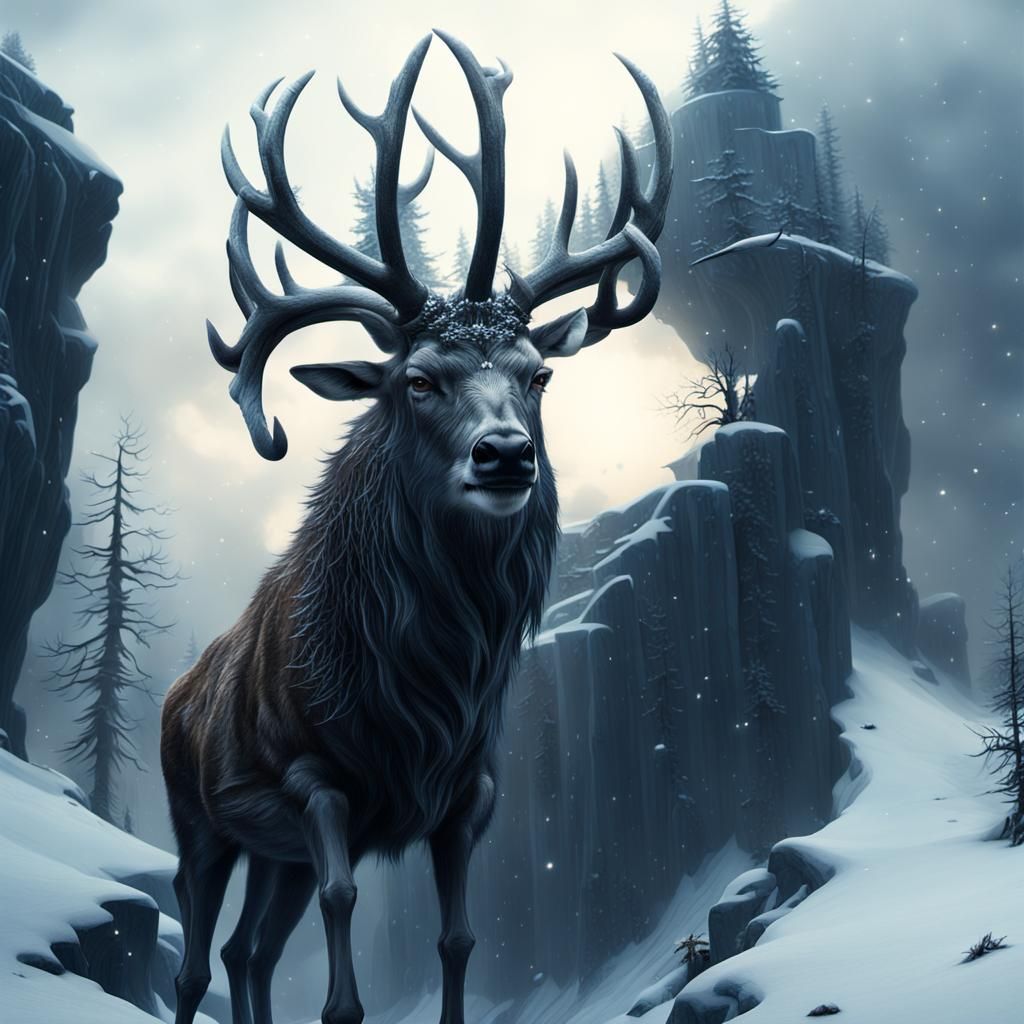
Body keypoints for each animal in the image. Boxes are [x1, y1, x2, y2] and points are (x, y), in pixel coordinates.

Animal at [160, 29, 671, 1024]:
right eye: (419, 379)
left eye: (538, 374)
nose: (506, 454)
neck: (417, 700)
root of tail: (178, 690)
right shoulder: (313, 780)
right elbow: (343, 930)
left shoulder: (468, 796)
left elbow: (460, 939)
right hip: (198, 821)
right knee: (196, 959)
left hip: (268, 855)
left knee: (247, 951)